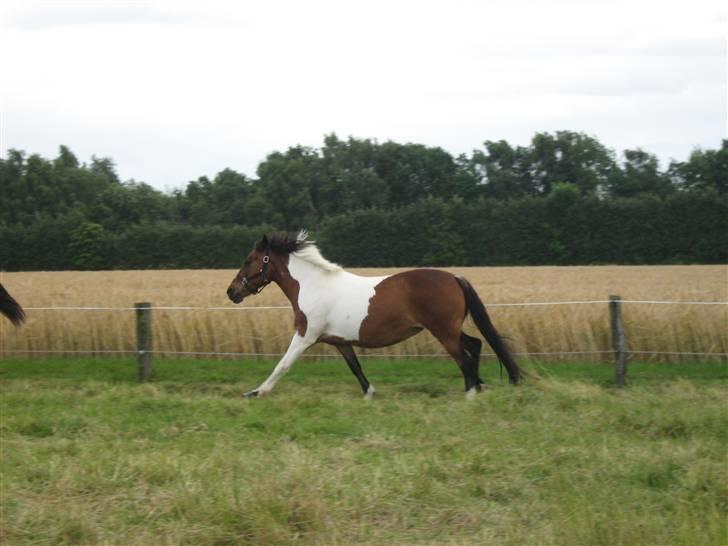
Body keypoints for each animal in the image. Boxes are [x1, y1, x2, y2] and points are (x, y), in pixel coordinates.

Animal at [225, 227, 520, 398]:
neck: (311, 285)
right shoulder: (339, 341)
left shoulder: (305, 335)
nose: (231, 292)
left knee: (464, 357)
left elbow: (283, 364)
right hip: (451, 329)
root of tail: (455, 278)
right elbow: (355, 367)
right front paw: (370, 392)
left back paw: (471, 393)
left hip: (444, 331)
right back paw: (480, 386)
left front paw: (257, 391)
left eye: (249, 260)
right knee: (475, 344)